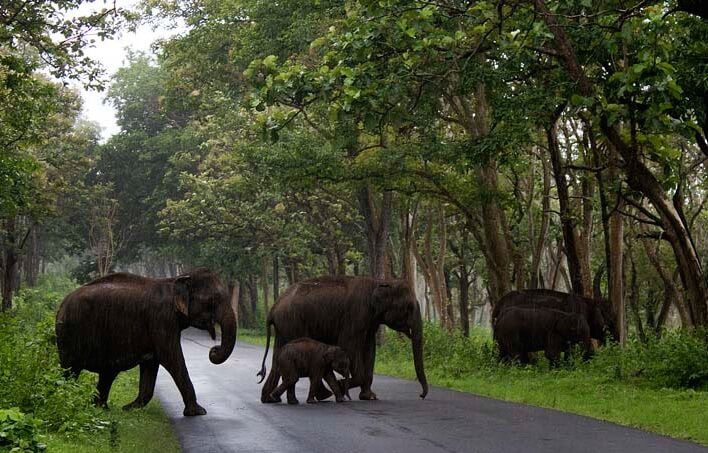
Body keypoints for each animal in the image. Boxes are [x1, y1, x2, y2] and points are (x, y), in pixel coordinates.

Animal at [55, 266, 236, 414]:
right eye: (213, 300)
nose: (213, 350)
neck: (177, 279)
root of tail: (62, 304)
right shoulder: (161, 318)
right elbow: (170, 357)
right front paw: (199, 412)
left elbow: (152, 362)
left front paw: (129, 408)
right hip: (69, 334)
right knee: (70, 370)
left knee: (107, 372)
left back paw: (101, 408)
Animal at [258, 278, 428, 400]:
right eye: (409, 308)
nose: (421, 395)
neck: (379, 281)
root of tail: (273, 308)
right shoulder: (356, 315)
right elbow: (350, 346)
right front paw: (341, 385)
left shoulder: (370, 321)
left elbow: (369, 349)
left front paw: (369, 397)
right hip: (292, 323)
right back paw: (323, 395)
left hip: (284, 327)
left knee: (277, 358)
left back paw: (269, 399)